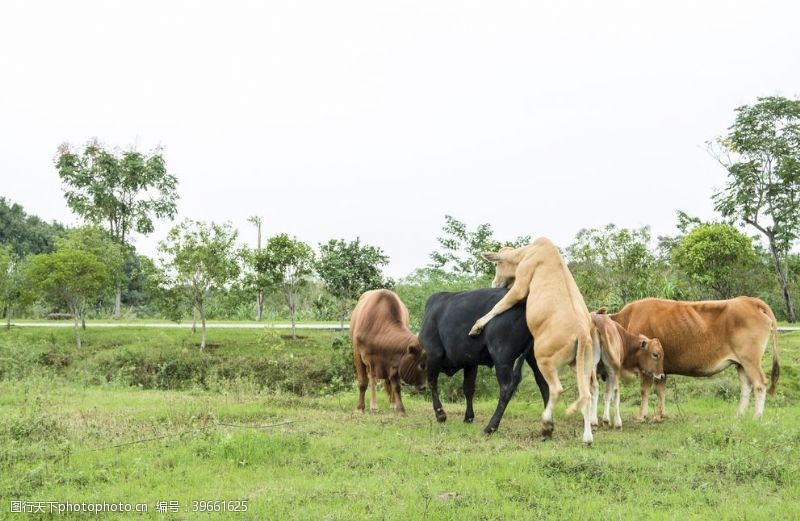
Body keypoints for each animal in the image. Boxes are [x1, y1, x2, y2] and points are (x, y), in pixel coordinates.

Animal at [418, 288, 552, 434]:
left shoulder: (432, 354)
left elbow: (432, 383)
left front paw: (440, 415)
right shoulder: (470, 362)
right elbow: (468, 388)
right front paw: (468, 417)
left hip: (502, 356)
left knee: (507, 388)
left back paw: (491, 427)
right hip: (535, 356)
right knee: (544, 384)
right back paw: (548, 428)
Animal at [468, 237, 600, 442]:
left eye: (497, 263)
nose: (495, 282)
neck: (532, 251)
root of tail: (581, 332)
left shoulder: (520, 286)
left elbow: (500, 305)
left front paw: (477, 326)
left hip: (543, 358)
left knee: (556, 389)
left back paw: (546, 425)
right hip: (583, 364)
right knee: (587, 392)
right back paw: (587, 437)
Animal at [608, 294, 780, 420]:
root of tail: (749, 301)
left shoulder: (648, 367)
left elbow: (645, 390)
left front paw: (642, 416)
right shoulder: (660, 370)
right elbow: (660, 390)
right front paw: (659, 416)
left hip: (750, 360)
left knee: (759, 384)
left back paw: (757, 416)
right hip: (741, 364)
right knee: (746, 386)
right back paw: (739, 414)